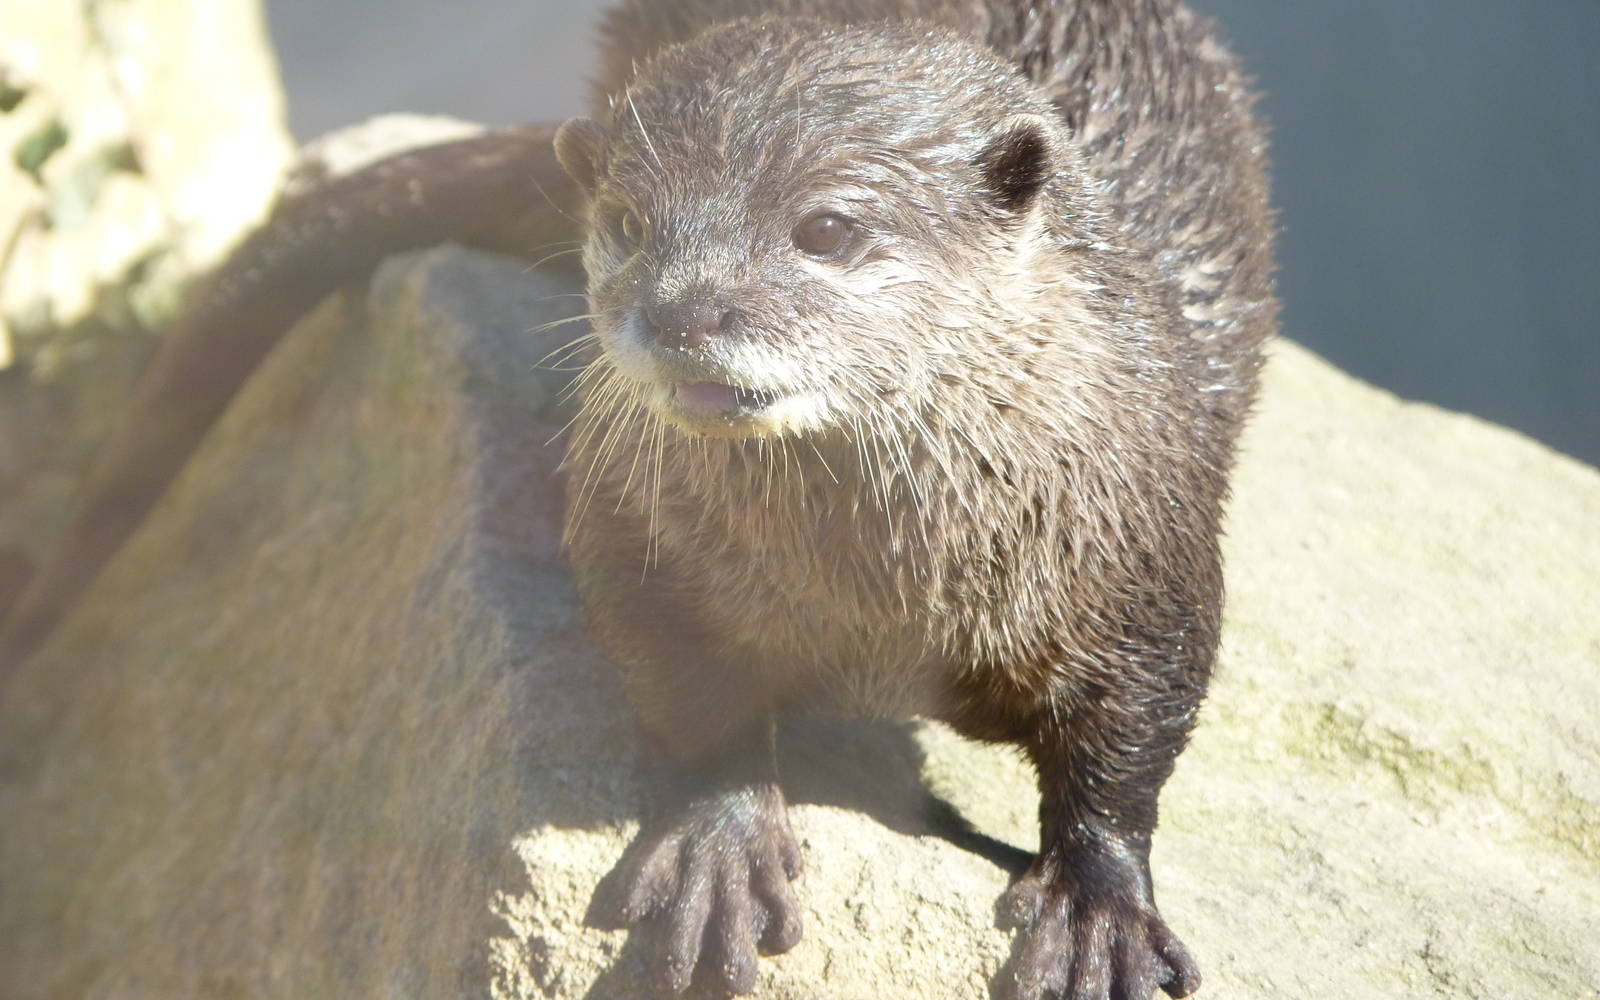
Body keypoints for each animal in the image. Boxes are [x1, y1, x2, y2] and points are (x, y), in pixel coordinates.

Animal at [2, 2, 1276, 998]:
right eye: (623, 223)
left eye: (827, 227)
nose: (681, 308)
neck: (881, 599)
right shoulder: (634, 534)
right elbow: (684, 679)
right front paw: (723, 840)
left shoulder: (1145, 545)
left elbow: (1133, 728)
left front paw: (1099, 907)